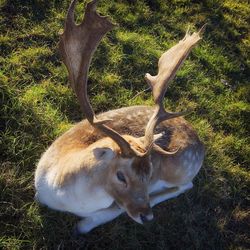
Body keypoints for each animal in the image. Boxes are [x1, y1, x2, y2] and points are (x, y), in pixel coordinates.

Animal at [34, 0, 205, 234]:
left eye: (150, 173)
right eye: (121, 176)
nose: (146, 216)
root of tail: (201, 144)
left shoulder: (114, 207)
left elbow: (89, 223)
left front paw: (84, 224)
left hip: (180, 169)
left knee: (187, 185)